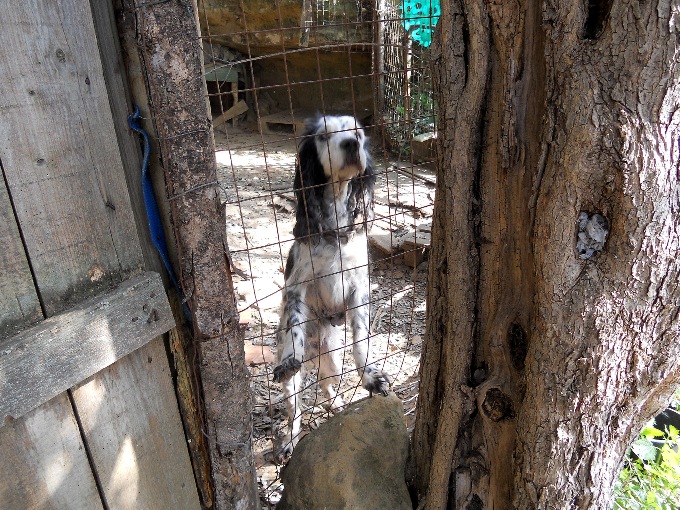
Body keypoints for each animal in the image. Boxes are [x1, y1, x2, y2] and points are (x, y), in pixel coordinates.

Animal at [272, 116, 390, 458]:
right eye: (323, 135)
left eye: (359, 133)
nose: (350, 143)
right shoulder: (296, 289)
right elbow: (294, 328)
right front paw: (291, 355)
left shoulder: (359, 287)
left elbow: (361, 342)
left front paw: (371, 378)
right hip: (292, 385)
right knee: (295, 411)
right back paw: (290, 441)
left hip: (333, 360)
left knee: (326, 385)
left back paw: (336, 405)